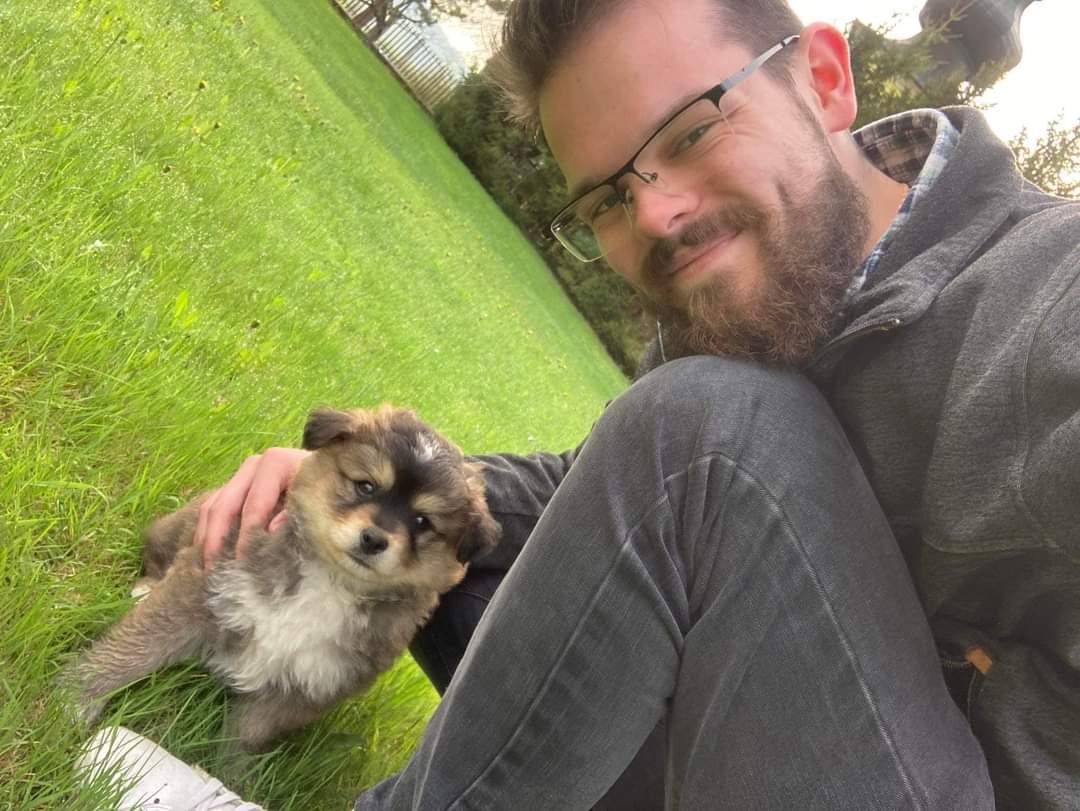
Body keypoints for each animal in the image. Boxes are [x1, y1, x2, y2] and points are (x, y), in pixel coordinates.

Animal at [69, 405, 499, 752]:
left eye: (422, 522)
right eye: (365, 485)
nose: (374, 539)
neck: (330, 580)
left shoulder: (304, 689)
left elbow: (245, 735)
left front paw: (226, 771)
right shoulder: (199, 591)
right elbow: (131, 651)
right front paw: (74, 701)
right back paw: (144, 588)